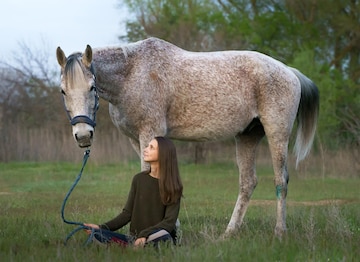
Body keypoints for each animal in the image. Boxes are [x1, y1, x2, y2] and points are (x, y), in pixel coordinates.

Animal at [55, 36, 318, 237]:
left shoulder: (150, 132)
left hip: (277, 134)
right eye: (63, 91)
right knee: (248, 182)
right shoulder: (136, 140)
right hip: (247, 137)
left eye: (92, 87)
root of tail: (290, 72)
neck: (132, 73)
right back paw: (229, 233)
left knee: (280, 180)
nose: (83, 135)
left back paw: (279, 232)